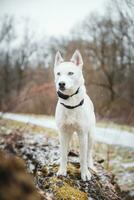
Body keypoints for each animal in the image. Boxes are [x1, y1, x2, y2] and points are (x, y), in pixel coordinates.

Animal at [54, 50, 96, 181]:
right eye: (58, 73)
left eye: (70, 73)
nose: (61, 84)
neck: (70, 103)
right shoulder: (62, 132)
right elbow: (63, 154)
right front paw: (62, 170)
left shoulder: (83, 134)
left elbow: (82, 157)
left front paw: (85, 173)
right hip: (66, 135)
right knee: (66, 150)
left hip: (90, 136)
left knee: (89, 153)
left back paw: (90, 165)